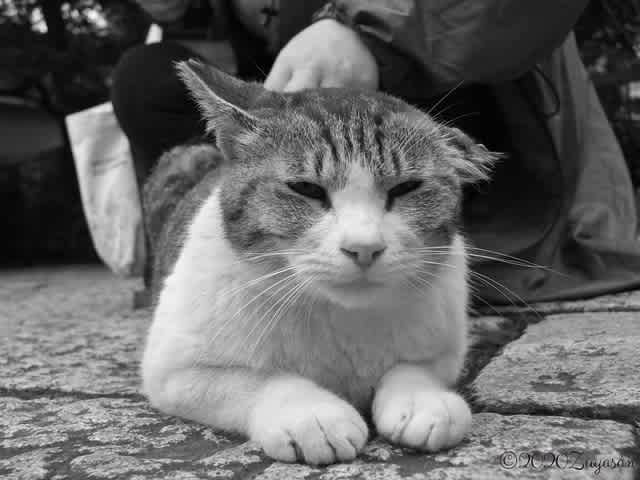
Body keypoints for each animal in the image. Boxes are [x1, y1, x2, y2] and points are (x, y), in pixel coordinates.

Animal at [141, 59, 495, 465]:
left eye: (406, 188)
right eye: (306, 189)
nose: (364, 247)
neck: (339, 316)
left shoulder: (445, 346)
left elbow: (414, 368)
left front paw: (423, 400)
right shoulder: (172, 369)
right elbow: (258, 380)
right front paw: (313, 416)